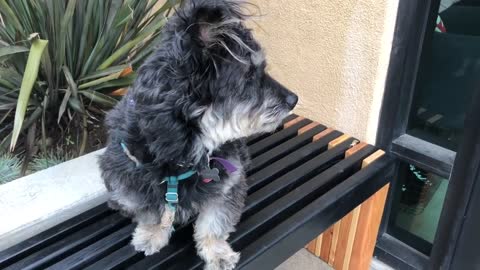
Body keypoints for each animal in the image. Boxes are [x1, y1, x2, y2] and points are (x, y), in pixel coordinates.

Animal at [100, 1, 298, 268]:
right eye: (249, 75)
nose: (294, 100)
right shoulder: (130, 182)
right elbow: (152, 213)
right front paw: (152, 235)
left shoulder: (227, 185)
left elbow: (213, 223)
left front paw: (217, 253)